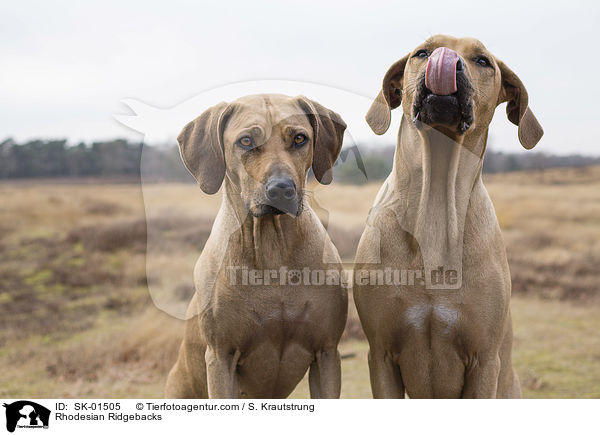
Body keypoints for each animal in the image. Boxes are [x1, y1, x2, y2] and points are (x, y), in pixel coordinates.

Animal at [166, 94, 350, 398]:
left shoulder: (326, 352)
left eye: (300, 138)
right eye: (245, 141)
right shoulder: (220, 357)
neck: (271, 247)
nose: (281, 189)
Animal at [356, 35, 544, 400]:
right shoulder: (381, 355)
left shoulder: (484, 361)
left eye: (483, 61)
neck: (435, 210)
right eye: (422, 53)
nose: (447, 62)